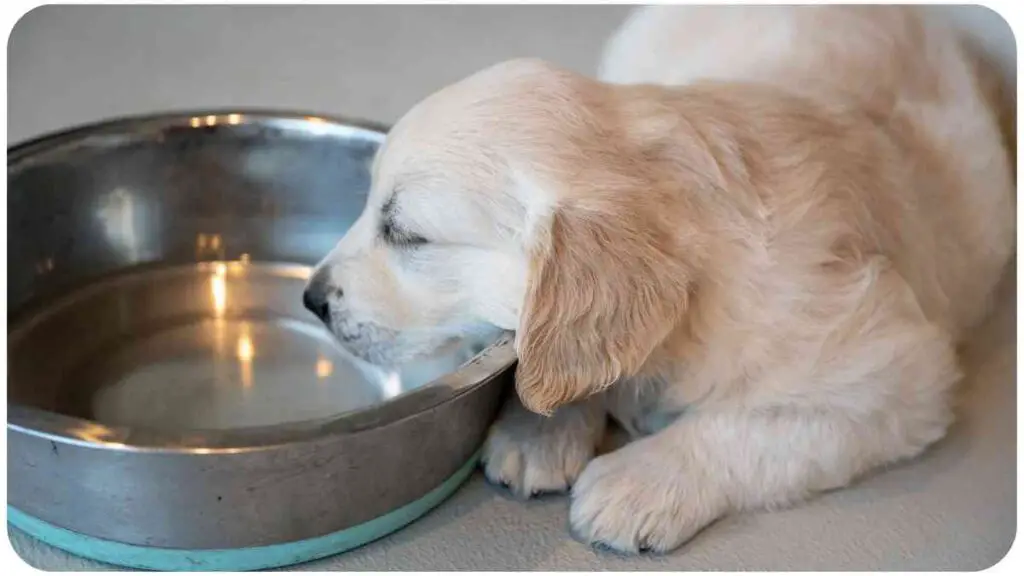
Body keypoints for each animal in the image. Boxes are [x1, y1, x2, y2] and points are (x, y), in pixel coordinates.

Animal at [301, 5, 1007, 553]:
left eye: (406, 235)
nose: (311, 299)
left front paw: (639, 483)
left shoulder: (896, 374)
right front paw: (540, 430)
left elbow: (747, 424)